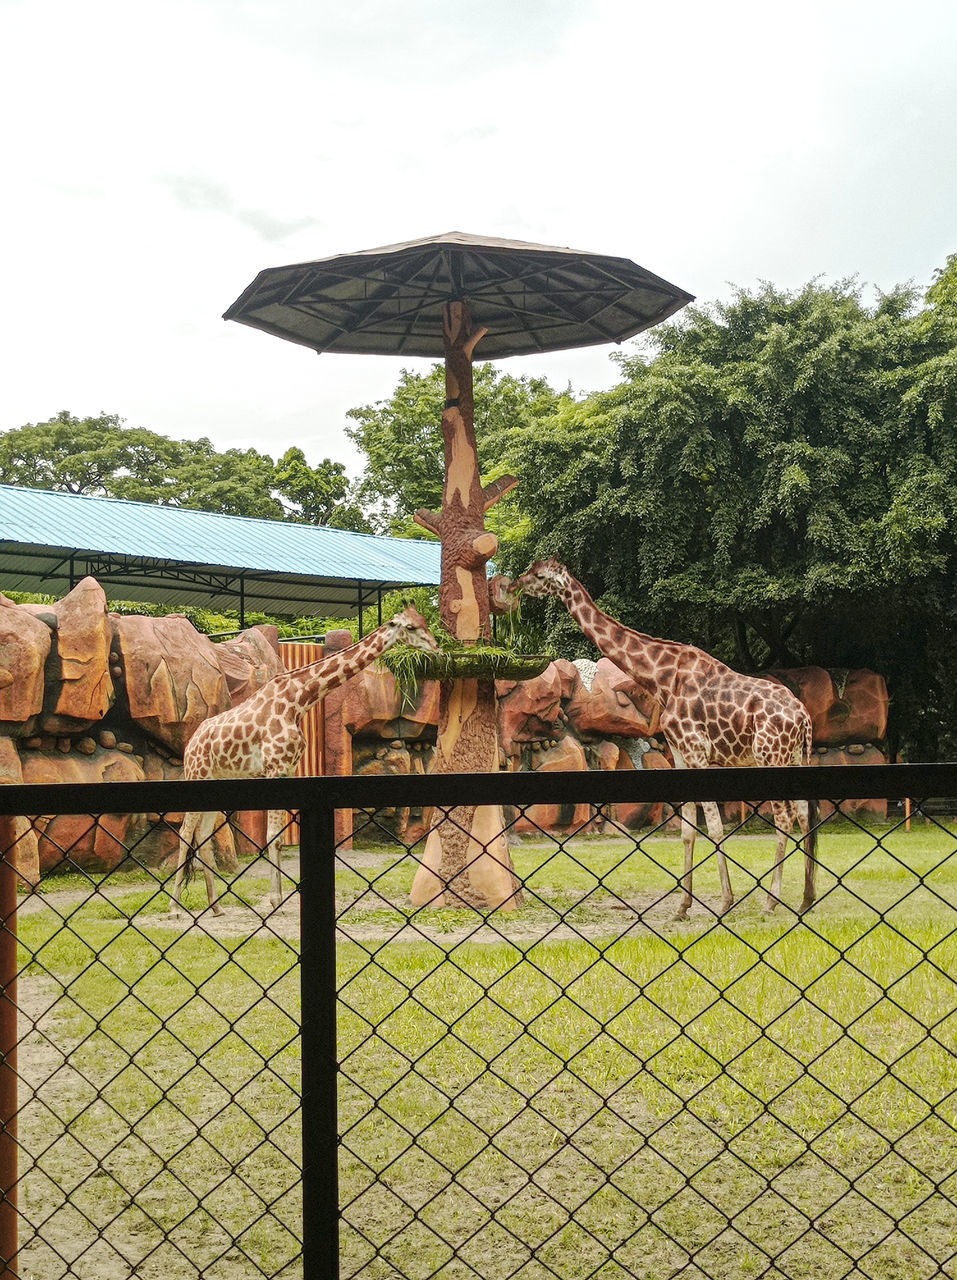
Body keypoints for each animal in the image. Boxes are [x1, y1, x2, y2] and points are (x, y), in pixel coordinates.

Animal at [171, 601, 437, 916]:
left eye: (425, 622)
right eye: (410, 627)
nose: (436, 647)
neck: (298, 700)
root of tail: (191, 744)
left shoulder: (288, 769)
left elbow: (277, 838)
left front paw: (279, 899)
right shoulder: (274, 768)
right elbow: (273, 836)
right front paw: (275, 901)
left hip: (218, 780)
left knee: (202, 836)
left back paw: (216, 907)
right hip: (197, 774)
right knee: (186, 831)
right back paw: (175, 907)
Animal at [511, 555, 818, 916]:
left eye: (538, 575)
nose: (514, 585)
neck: (661, 677)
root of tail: (803, 718)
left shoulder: (697, 751)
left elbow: (714, 826)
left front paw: (726, 901)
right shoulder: (681, 752)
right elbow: (687, 830)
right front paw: (683, 905)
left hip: (770, 755)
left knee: (784, 817)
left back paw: (771, 901)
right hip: (793, 756)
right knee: (803, 814)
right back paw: (806, 898)